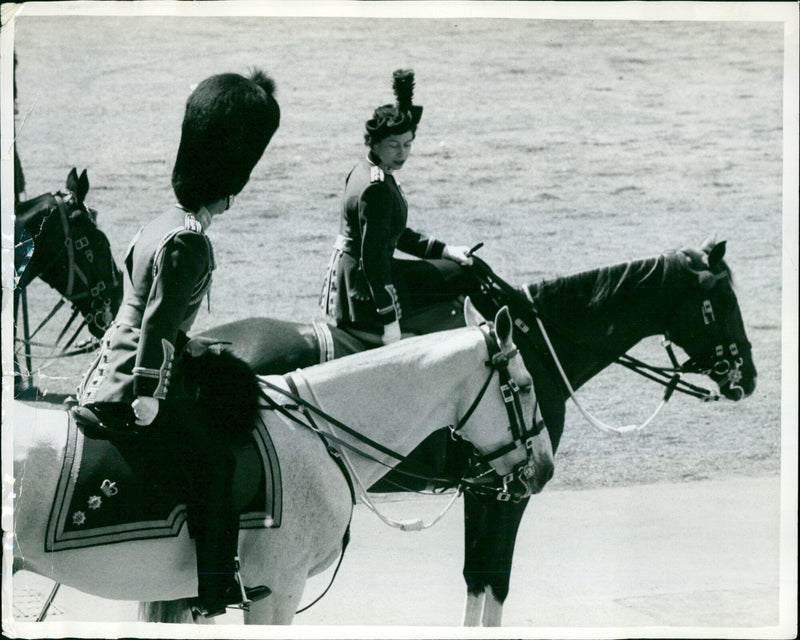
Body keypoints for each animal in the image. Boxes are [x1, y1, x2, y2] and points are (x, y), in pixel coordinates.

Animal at [198, 236, 756, 624]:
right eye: (723, 301)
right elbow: (492, 578)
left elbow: (478, 577)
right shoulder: (503, 489)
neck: (533, 346)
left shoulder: (490, 486)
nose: (746, 376)